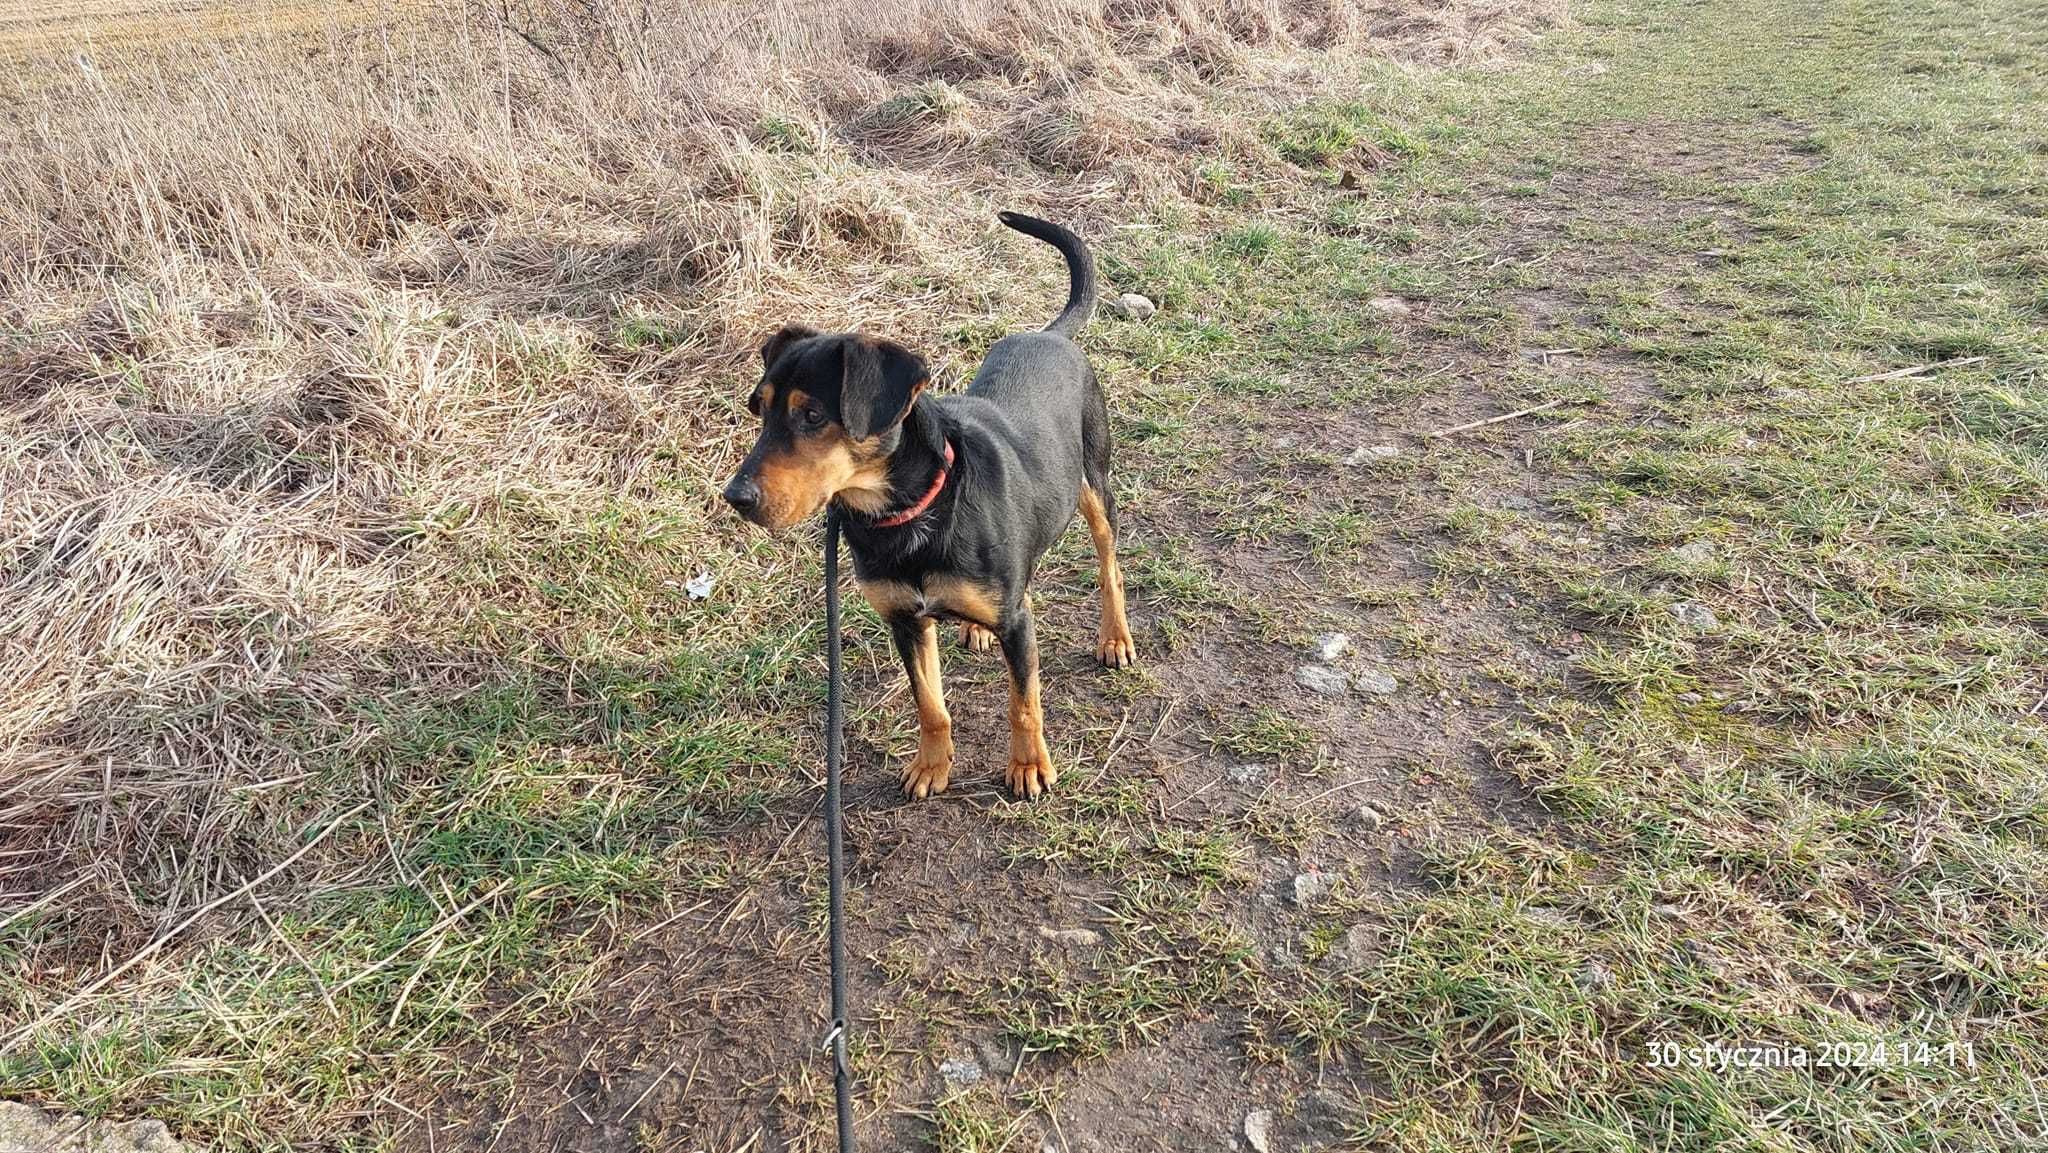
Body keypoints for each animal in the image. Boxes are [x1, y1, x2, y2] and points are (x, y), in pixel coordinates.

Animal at [724, 209, 1138, 802]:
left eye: (812, 416)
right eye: (760, 410)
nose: (736, 497)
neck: (911, 514)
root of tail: (1048, 335)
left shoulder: (1018, 623)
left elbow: (1023, 704)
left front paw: (1029, 766)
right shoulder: (905, 621)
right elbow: (930, 704)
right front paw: (932, 766)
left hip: (1093, 484)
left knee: (1109, 567)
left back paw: (1115, 637)